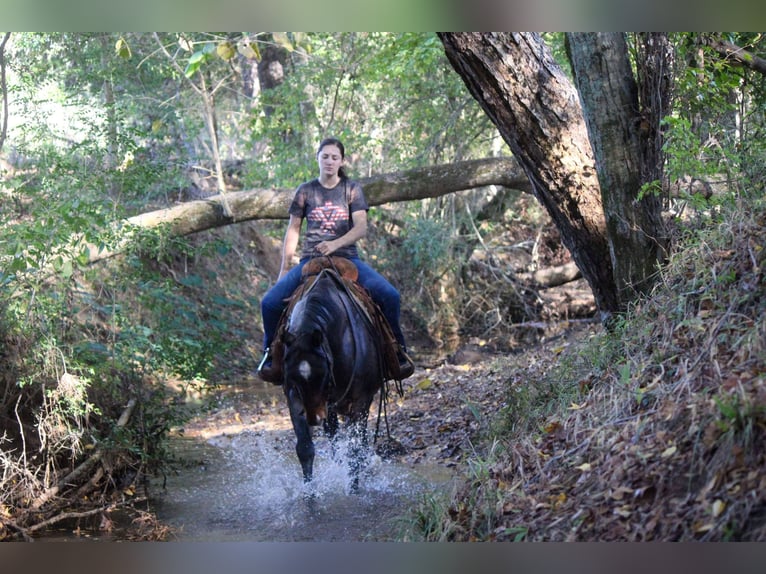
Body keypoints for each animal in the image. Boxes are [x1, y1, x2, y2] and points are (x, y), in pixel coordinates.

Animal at [282, 264, 388, 492]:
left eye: (322, 374)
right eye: (293, 376)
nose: (313, 418)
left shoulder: (361, 399)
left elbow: (355, 448)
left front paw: (354, 489)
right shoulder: (294, 395)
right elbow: (305, 448)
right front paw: (309, 493)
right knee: (333, 433)